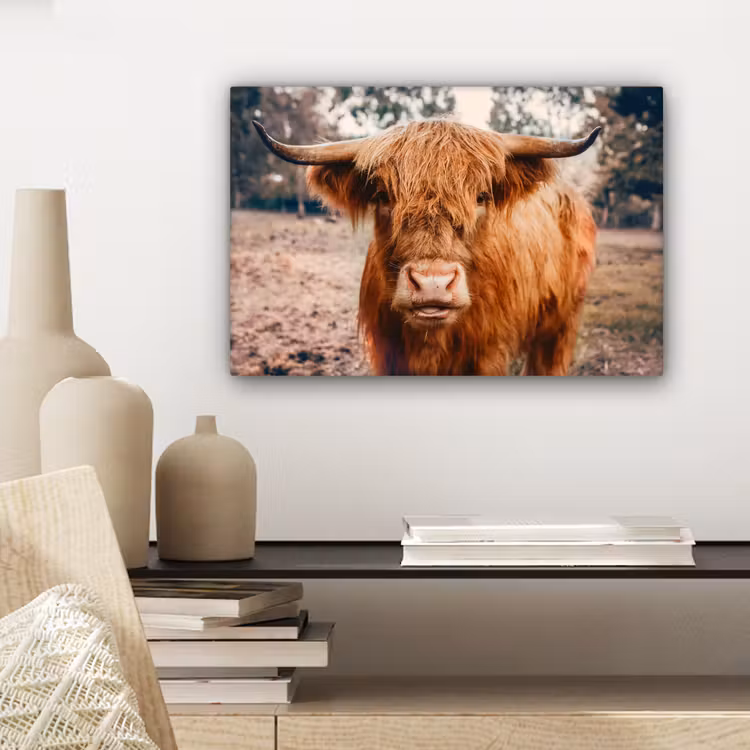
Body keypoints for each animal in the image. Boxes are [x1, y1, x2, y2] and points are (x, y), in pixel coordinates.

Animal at [253, 118, 601, 376]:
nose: (433, 283)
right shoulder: (388, 354)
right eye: (383, 196)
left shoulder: (489, 354)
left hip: (561, 324)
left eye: (481, 197)